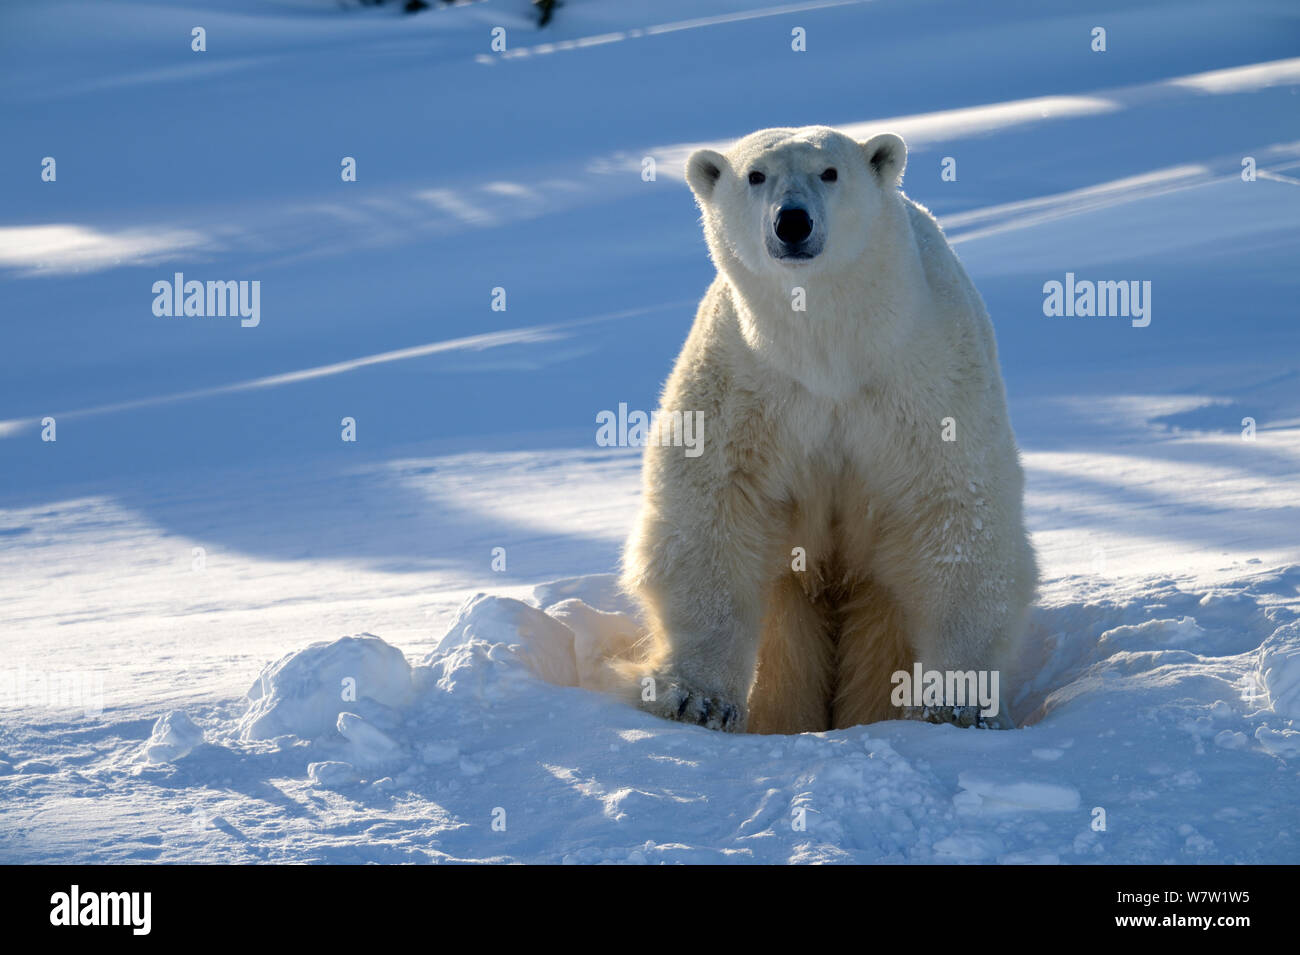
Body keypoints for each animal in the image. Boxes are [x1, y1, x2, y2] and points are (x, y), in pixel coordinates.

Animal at [618, 125, 1034, 738]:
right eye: (756, 175)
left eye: (830, 172)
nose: (792, 222)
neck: (829, 350)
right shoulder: (745, 374)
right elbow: (712, 504)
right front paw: (695, 700)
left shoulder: (925, 372)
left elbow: (955, 506)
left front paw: (959, 705)